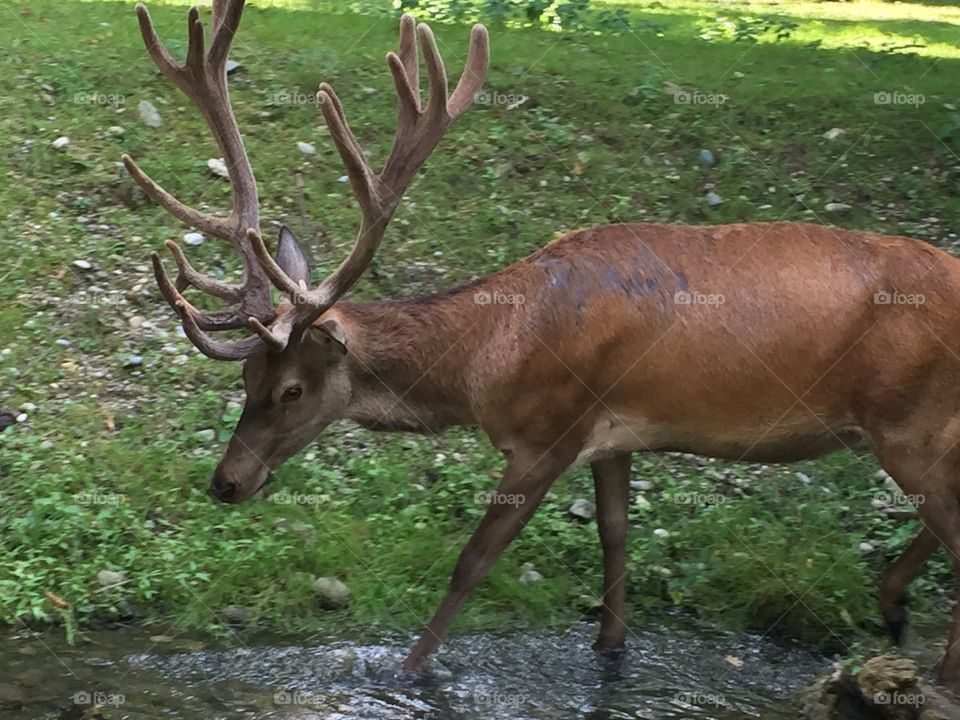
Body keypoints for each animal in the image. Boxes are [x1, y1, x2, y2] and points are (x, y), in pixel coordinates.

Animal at [123, 0, 960, 690]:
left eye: (292, 389)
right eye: (244, 385)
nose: (225, 483)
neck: (489, 361)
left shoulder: (547, 432)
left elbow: (472, 563)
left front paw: (408, 670)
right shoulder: (613, 434)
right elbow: (616, 542)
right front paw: (610, 652)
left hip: (909, 418)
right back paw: (891, 607)